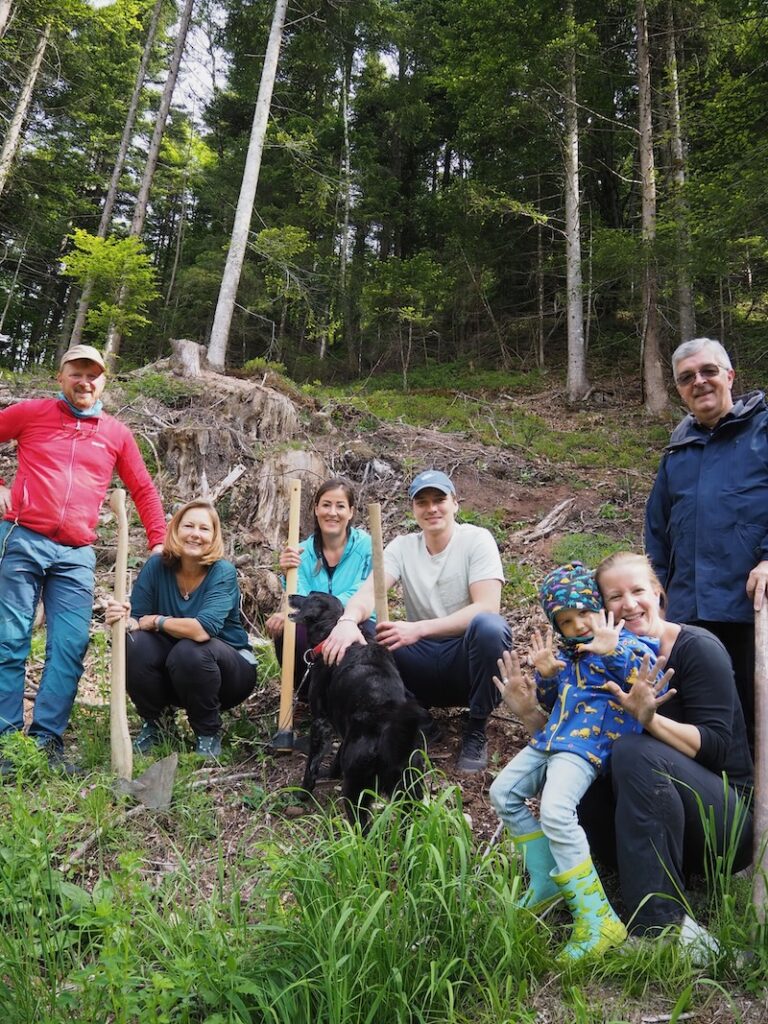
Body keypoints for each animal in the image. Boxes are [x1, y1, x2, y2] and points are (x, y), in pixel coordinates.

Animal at [290, 589, 430, 827]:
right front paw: (333, 773)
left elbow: (311, 767)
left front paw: (302, 793)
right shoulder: (342, 726)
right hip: (409, 794)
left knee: (364, 831)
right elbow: (337, 757)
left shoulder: (321, 723)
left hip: (356, 793)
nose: (290, 595)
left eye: (308, 595)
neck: (332, 629)